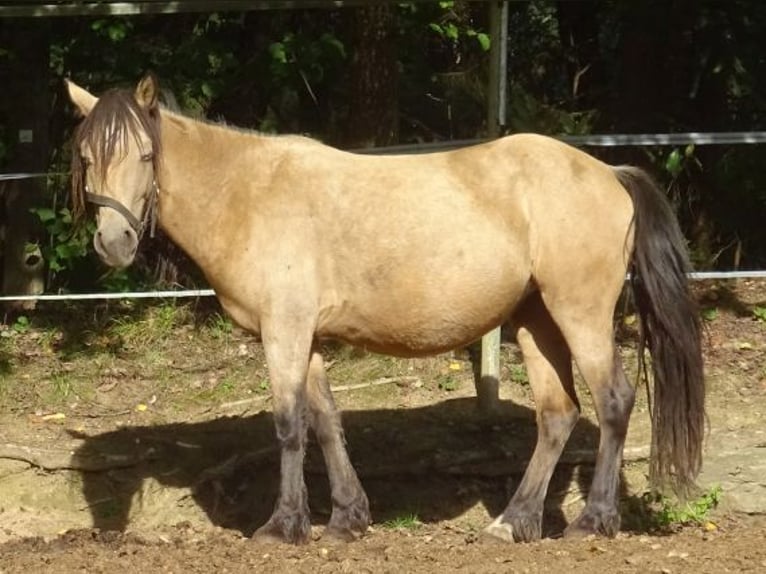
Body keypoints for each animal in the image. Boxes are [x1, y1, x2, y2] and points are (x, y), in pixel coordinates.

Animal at [65, 74, 704, 545]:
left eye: (144, 154)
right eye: (87, 157)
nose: (114, 242)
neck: (248, 194)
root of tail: (610, 173)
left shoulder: (284, 331)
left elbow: (289, 425)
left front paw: (283, 526)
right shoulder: (307, 337)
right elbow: (326, 422)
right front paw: (347, 519)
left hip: (579, 314)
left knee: (614, 402)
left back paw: (593, 521)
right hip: (535, 320)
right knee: (557, 415)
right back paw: (513, 522)